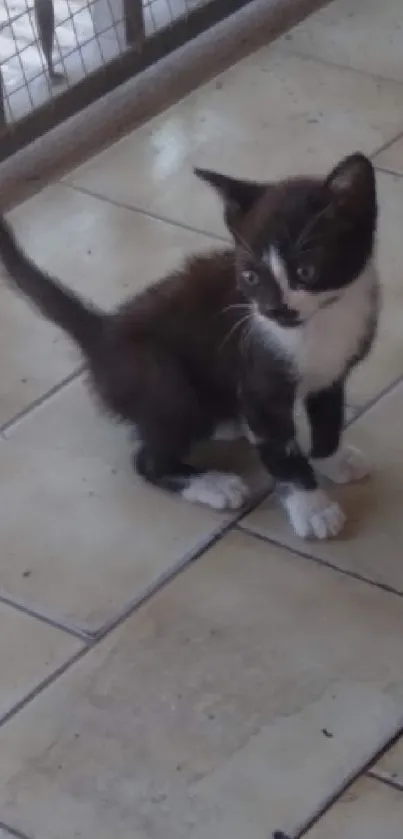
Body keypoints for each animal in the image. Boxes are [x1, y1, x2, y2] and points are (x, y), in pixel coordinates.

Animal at [0, 153, 380, 540]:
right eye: (250, 276)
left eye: (306, 271)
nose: (275, 310)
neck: (323, 322)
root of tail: (104, 333)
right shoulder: (258, 377)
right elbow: (282, 451)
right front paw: (312, 506)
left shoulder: (332, 373)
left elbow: (329, 420)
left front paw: (332, 460)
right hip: (161, 379)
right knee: (148, 457)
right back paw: (211, 483)